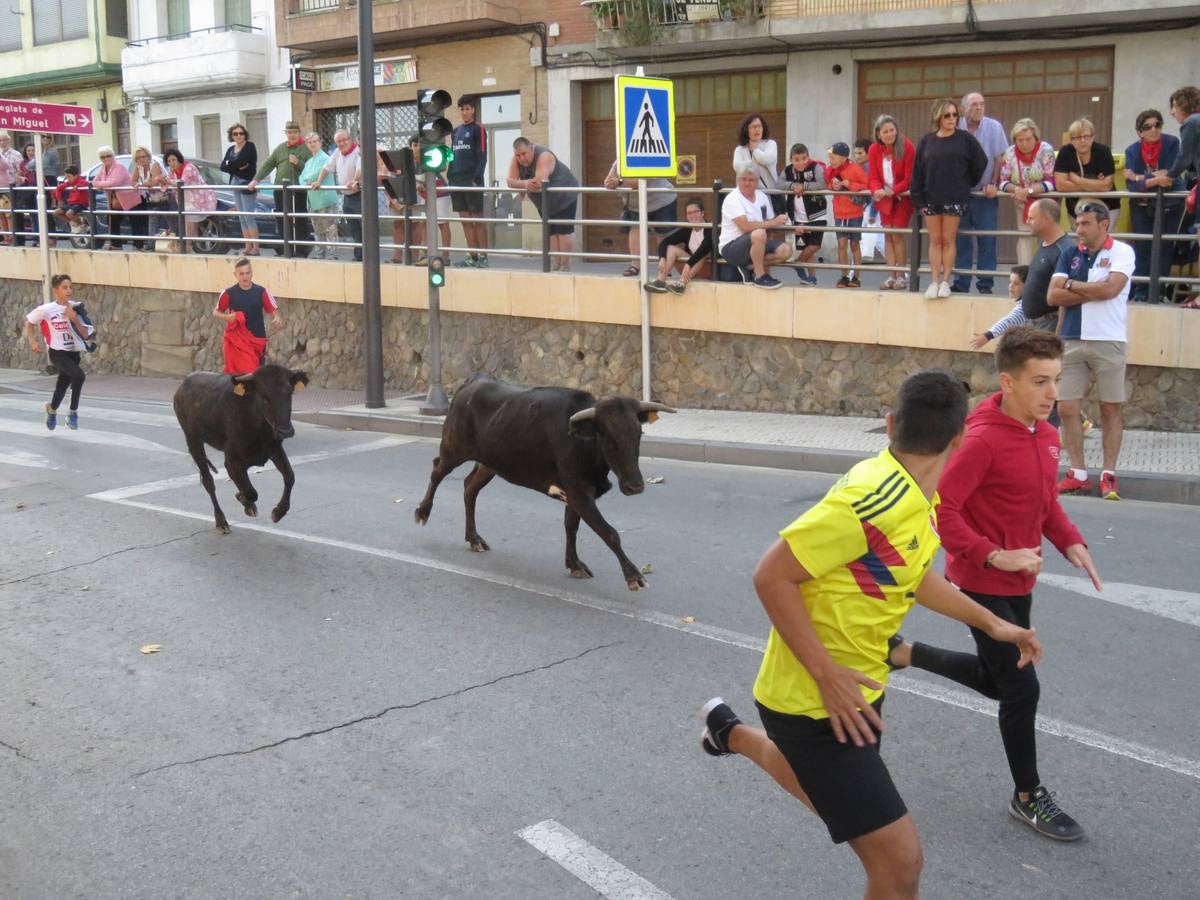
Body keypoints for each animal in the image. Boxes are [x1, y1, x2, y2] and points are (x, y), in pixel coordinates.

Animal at [175, 364, 314, 535]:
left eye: (290, 393)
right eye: (264, 396)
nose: (285, 431)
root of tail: (183, 384)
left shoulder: (275, 450)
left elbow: (289, 477)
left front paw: (279, 511)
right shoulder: (231, 461)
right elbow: (251, 492)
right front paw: (244, 500)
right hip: (193, 439)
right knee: (208, 481)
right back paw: (221, 522)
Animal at [412, 372, 676, 592]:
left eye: (638, 434)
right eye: (609, 438)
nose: (635, 486)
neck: (583, 442)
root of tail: (472, 381)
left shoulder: (575, 493)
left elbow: (571, 526)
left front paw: (574, 564)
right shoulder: (579, 492)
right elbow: (609, 532)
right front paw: (633, 576)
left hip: (489, 464)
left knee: (469, 487)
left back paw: (474, 538)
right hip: (453, 449)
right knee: (437, 471)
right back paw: (423, 512)